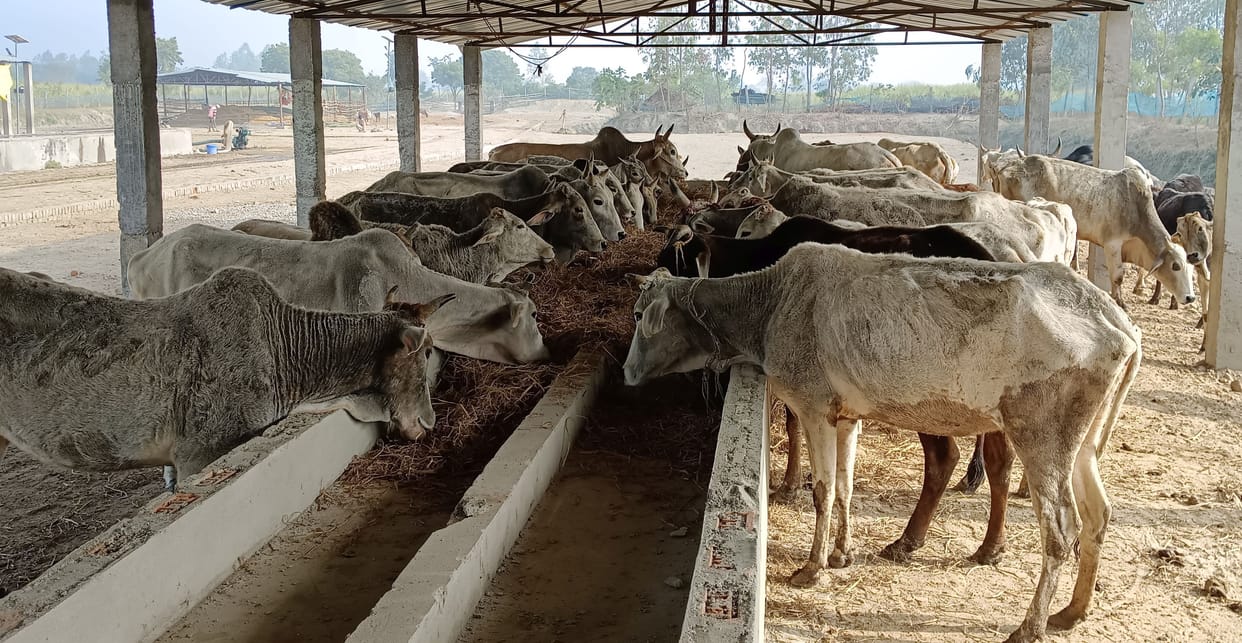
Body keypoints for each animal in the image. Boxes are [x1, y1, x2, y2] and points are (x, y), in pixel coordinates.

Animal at [623, 244, 1142, 643]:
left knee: (1061, 530)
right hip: (1083, 445)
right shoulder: (846, 416)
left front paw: (812, 568)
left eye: (639, 316)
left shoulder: (813, 406)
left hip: (1042, 436)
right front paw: (842, 554)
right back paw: (1071, 612)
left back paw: (1029, 626)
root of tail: (1116, 319)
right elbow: (846, 486)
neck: (772, 306)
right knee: (1099, 514)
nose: (627, 373)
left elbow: (822, 490)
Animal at [987, 154, 1195, 308]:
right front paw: (1120, 303)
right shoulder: (1112, 244)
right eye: (1175, 266)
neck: (1136, 207)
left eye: (1190, 267)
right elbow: (1118, 277)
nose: (1190, 297)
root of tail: (1007, 166)